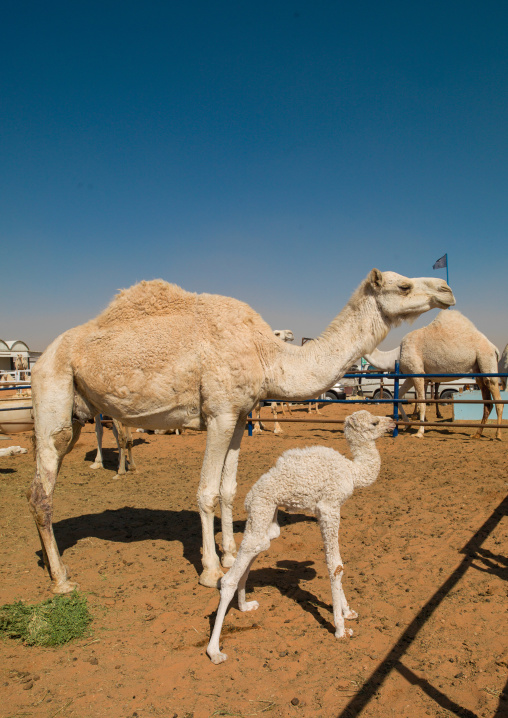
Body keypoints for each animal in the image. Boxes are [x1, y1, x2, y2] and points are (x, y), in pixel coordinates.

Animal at [29, 269, 454, 593]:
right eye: (404, 286)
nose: (447, 290)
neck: (267, 354)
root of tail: (41, 357)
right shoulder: (218, 413)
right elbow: (205, 492)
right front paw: (210, 570)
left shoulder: (239, 415)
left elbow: (228, 488)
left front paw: (231, 553)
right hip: (54, 389)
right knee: (41, 489)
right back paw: (62, 580)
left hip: (79, 410)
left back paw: (50, 565)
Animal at [207, 411, 396, 664]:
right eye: (374, 422)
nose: (392, 422)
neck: (351, 470)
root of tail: (249, 497)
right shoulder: (329, 507)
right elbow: (336, 565)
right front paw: (341, 628)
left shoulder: (325, 511)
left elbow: (335, 563)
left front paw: (348, 612)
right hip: (262, 507)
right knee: (230, 575)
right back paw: (214, 651)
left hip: (267, 517)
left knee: (258, 545)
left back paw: (245, 606)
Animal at [365, 310, 503, 439]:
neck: (397, 354)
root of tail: (494, 348)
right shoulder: (410, 375)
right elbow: (398, 397)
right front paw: (407, 425)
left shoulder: (417, 373)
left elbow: (421, 402)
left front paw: (419, 432)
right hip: (478, 370)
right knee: (487, 402)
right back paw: (477, 434)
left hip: (486, 359)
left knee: (497, 398)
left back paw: (498, 434)